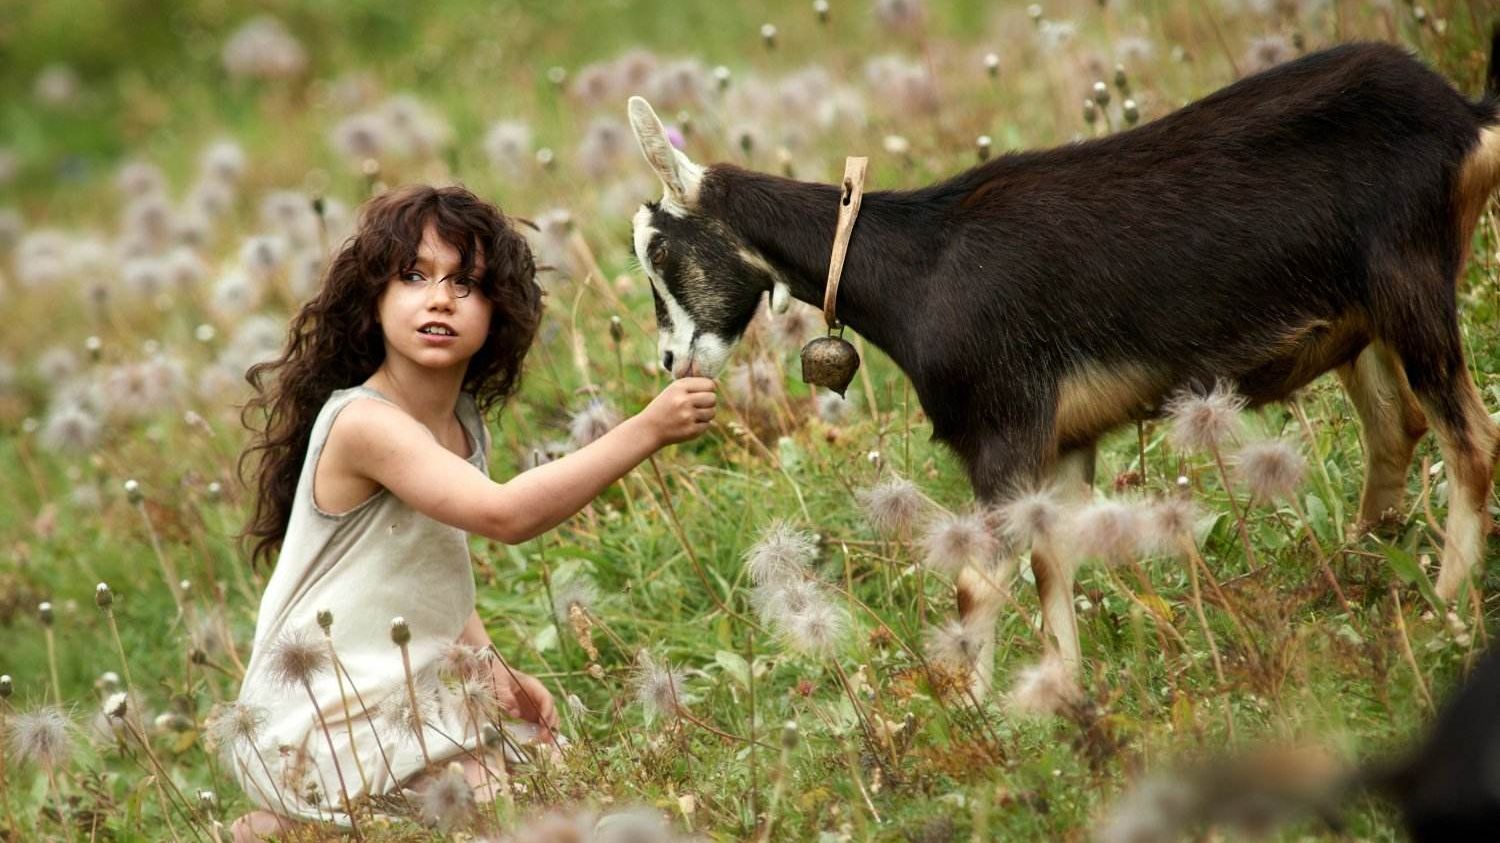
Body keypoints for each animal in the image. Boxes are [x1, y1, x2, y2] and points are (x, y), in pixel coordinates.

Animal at [627, 36, 1500, 687]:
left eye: (660, 249)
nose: (671, 360)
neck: (920, 266)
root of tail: (1462, 116)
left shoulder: (1004, 429)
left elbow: (976, 581)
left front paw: (977, 723)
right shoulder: (1064, 441)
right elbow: (1054, 569)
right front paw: (1060, 704)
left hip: (1411, 290)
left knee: (1472, 442)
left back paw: (1443, 615)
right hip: (1364, 325)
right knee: (1397, 431)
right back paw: (1358, 586)